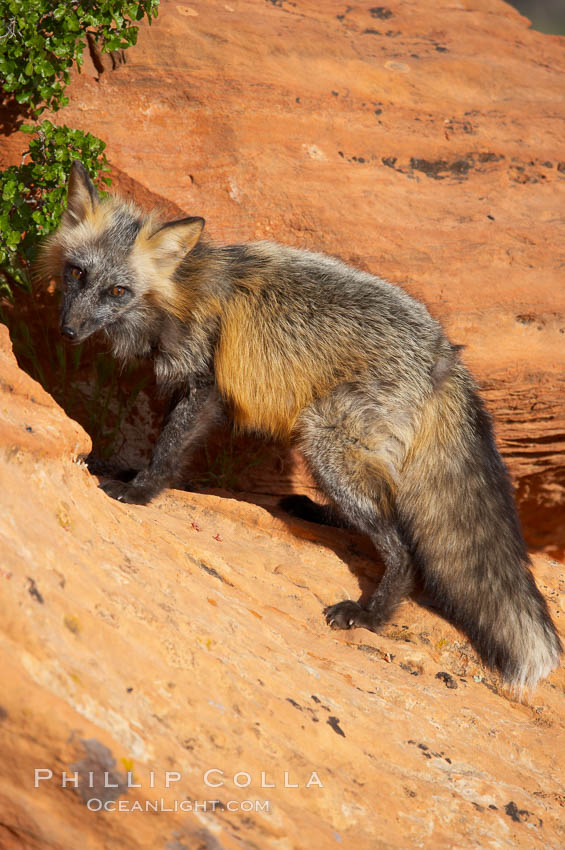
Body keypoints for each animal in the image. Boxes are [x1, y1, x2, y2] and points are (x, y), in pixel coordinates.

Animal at [40, 162, 560, 692]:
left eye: (117, 291)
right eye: (78, 273)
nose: (68, 330)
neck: (179, 293)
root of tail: (447, 354)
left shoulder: (204, 385)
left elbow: (167, 450)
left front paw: (140, 491)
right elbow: (158, 444)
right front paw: (127, 473)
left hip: (324, 442)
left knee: (404, 548)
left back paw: (371, 614)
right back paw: (320, 515)